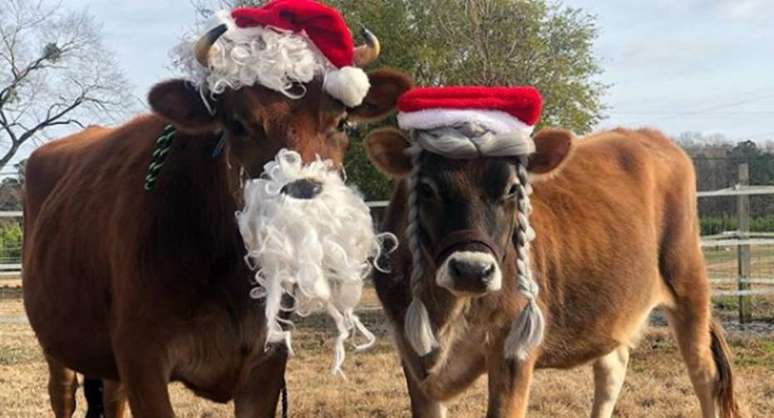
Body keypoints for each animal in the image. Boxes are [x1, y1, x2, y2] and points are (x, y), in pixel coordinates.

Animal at [366, 127, 744, 418]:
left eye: (513, 189)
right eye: (426, 188)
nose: (472, 270)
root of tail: (650, 136)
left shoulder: (512, 350)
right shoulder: (413, 360)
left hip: (689, 285)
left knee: (706, 376)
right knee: (611, 371)